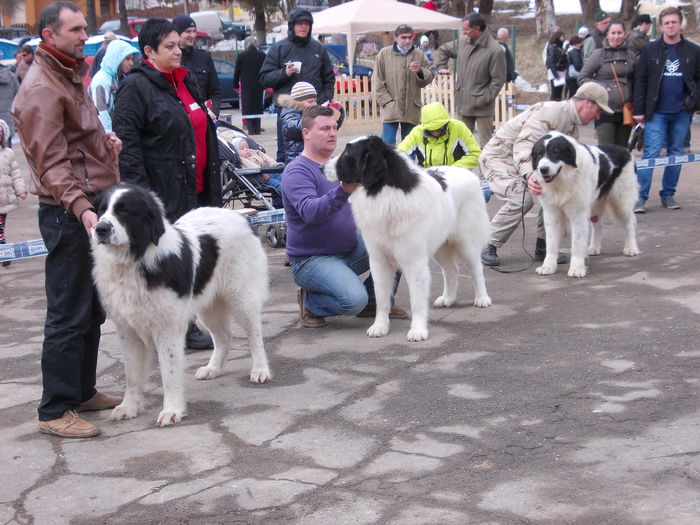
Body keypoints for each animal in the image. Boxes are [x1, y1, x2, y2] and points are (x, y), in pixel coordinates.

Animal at [90, 184, 270, 426]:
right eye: (101, 210)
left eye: (124, 211)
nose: (100, 228)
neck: (135, 261)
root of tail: (240, 216)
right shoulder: (128, 331)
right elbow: (132, 375)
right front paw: (129, 407)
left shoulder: (167, 328)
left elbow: (169, 373)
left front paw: (171, 410)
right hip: (208, 305)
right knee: (224, 337)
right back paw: (213, 368)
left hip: (241, 296)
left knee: (254, 335)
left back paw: (260, 370)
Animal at [324, 134, 492, 340]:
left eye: (348, 153)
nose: (321, 167)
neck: (384, 193)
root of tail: (468, 173)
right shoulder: (379, 260)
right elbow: (381, 298)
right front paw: (380, 326)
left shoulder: (414, 261)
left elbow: (417, 300)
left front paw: (418, 330)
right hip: (440, 246)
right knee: (451, 270)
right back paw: (448, 298)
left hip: (465, 242)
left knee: (476, 269)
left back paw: (482, 298)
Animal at [532, 131, 640, 278]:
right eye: (539, 154)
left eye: (556, 152)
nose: (543, 169)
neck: (563, 181)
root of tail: (625, 150)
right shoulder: (551, 214)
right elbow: (551, 242)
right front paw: (548, 266)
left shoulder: (578, 214)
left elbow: (577, 243)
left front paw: (577, 268)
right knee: (598, 225)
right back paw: (594, 248)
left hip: (621, 201)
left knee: (629, 222)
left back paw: (631, 248)